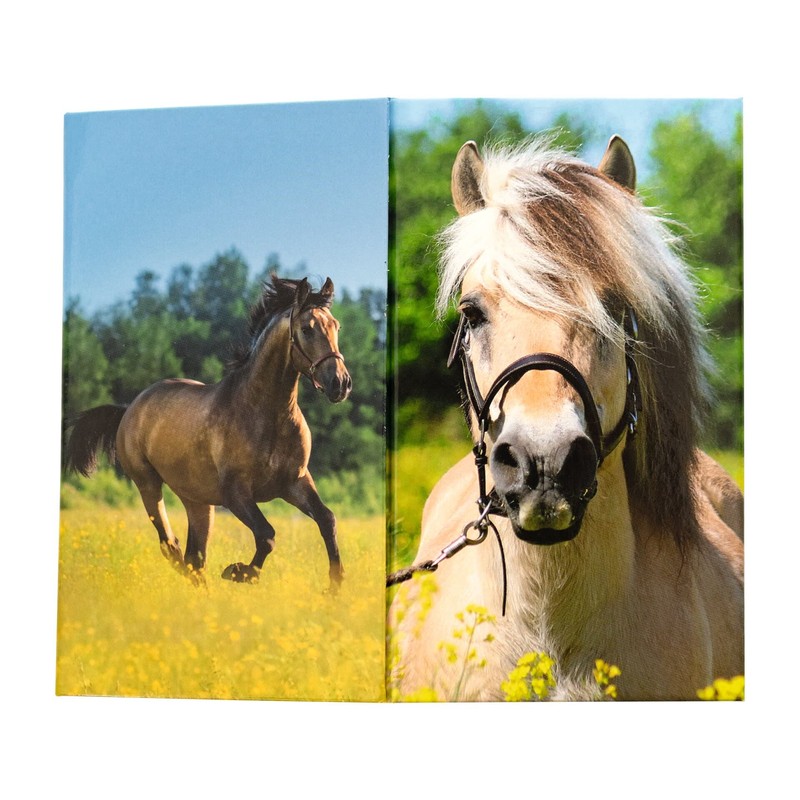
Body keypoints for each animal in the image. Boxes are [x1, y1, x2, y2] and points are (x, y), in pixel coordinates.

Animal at [64, 275, 352, 589]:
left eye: (336, 326)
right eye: (307, 328)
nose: (340, 384)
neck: (267, 414)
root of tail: (129, 408)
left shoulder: (295, 482)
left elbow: (327, 519)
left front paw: (334, 586)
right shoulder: (235, 492)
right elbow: (267, 535)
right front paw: (239, 572)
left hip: (197, 501)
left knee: (195, 557)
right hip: (148, 484)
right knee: (172, 546)